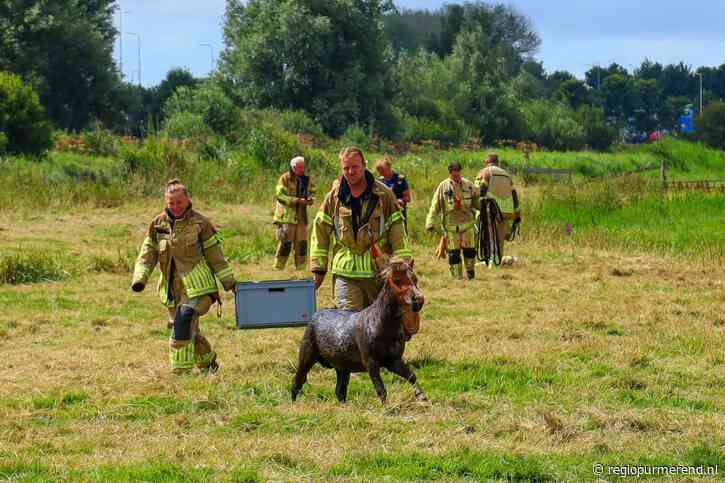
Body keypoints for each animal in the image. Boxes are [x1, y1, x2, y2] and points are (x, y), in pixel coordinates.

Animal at [291, 258, 426, 404]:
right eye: (397, 280)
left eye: (415, 279)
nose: (418, 300)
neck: (382, 325)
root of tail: (315, 316)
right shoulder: (371, 363)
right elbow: (381, 390)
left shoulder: (393, 361)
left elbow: (411, 376)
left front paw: (422, 396)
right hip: (307, 357)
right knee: (297, 382)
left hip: (342, 368)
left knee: (340, 391)